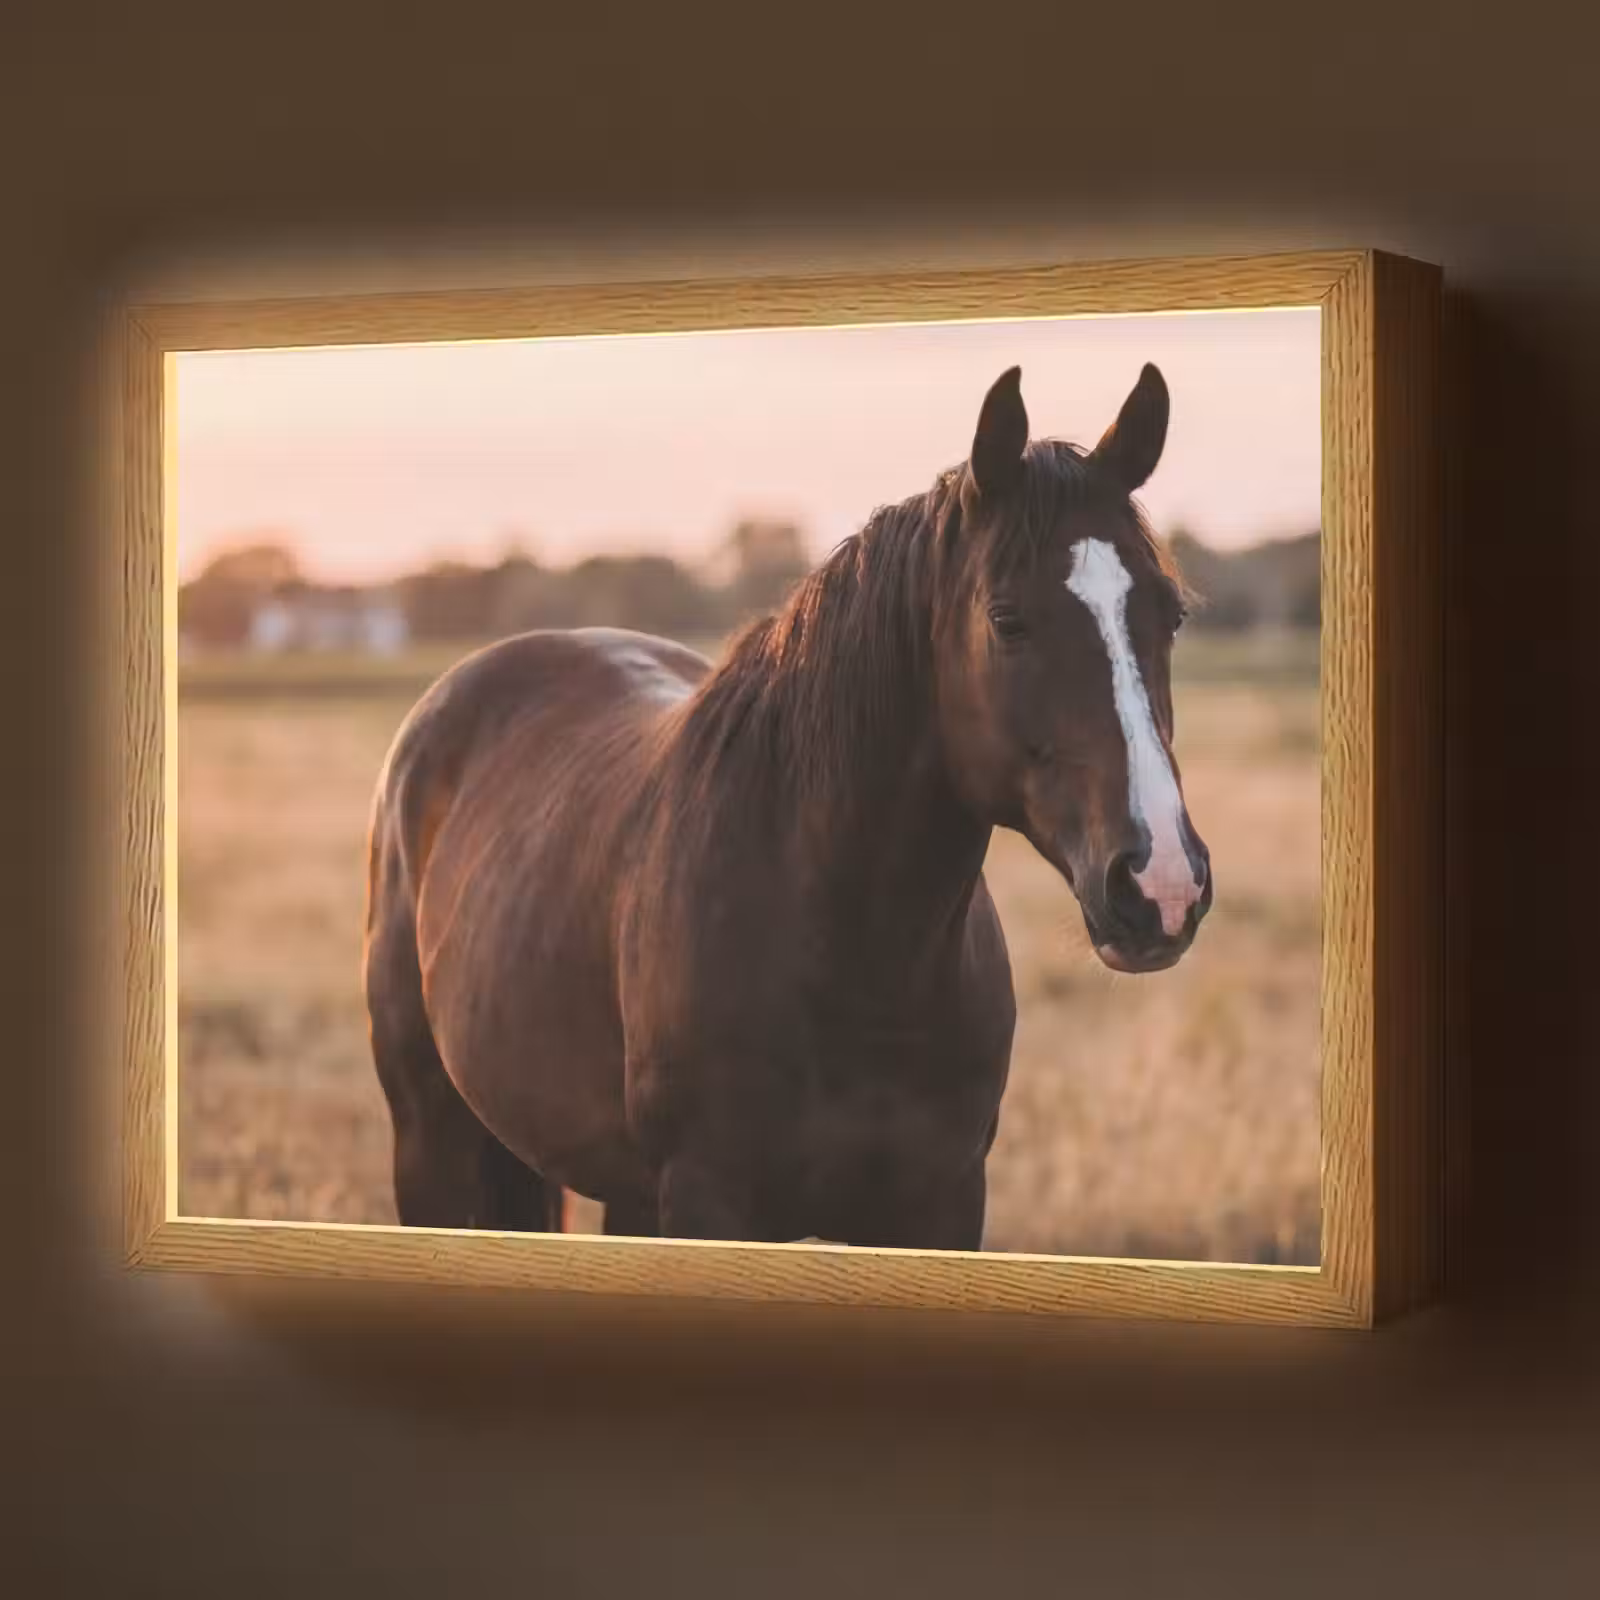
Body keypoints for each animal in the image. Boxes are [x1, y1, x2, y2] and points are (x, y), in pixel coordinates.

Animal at [362, 361, 1213, 1250]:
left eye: (1171, 613)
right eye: (1007, 620)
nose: (1160, 884)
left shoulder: (941, 1203)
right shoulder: (708, 1202)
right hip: (433, 1143)